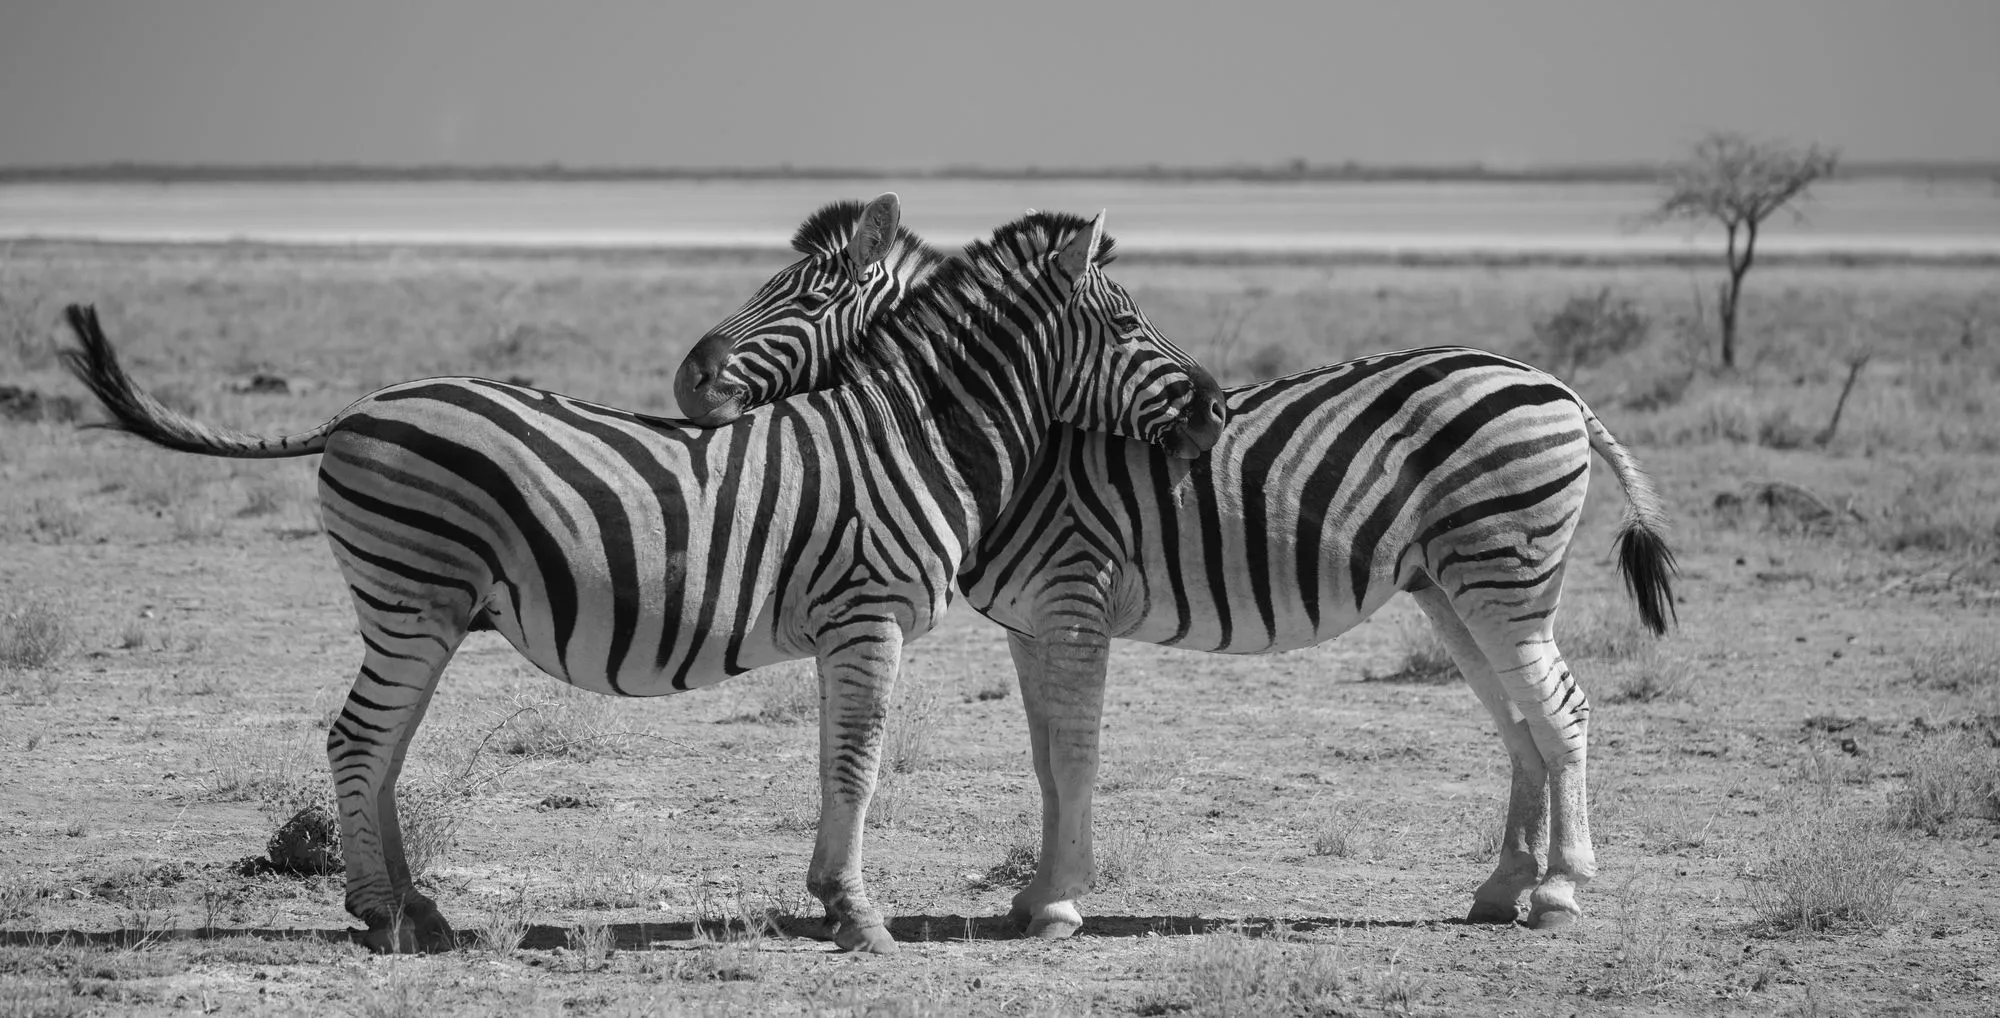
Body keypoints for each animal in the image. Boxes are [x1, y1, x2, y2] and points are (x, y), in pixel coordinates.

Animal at [57, 207, 1228, 955]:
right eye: (1130, 325)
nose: (1216, 411)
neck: (911, 431)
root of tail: (352, 410)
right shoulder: (868, 614)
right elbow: (859, 764)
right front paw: (858, 918)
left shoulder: (844, 626)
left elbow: (831, 761)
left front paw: (828, 898)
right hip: (411, 598)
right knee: (357, 740)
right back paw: (380, 913)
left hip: (422, 609)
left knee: (381, 743)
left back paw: (415, 910)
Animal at [675, 260, 1678, 935]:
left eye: (808, 297)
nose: (689, 377)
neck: (1006, 437)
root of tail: (1555, 384)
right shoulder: (1030, 626)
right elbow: (1045, 760)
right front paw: (1036, 894)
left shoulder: (1074, 599)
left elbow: (1074, 755)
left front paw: (1059, 905)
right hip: (1452, 587)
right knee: (1522, 722)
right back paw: (1506, 888)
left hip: (1503, 574)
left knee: (1563, 711)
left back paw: (1559, 891)